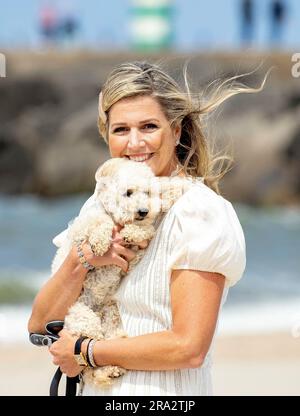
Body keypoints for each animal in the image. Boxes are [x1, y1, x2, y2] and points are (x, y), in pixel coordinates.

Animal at [51, 158, 195, 388]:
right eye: (128, 192)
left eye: (148, 193)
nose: (143, 211)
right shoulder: (83, 227)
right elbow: (98, 224)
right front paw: (100, 242)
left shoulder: (136, 250)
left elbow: (144, 230)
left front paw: (133, 232)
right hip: (81, 316)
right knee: (90, 344)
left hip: (111, 314)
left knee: (104, 348)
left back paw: (110, 369)